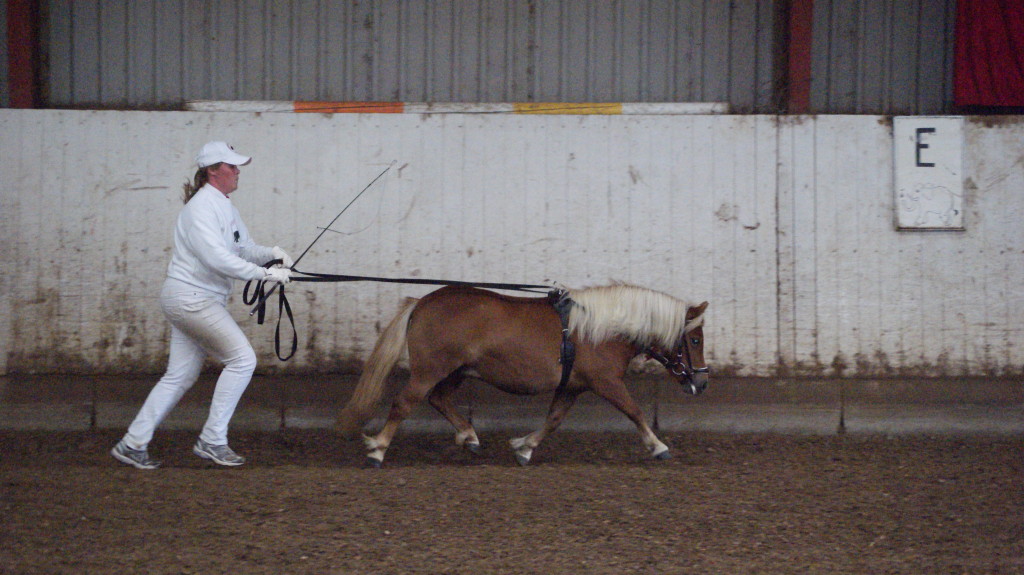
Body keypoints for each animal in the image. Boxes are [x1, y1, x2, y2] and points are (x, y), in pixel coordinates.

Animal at [339, 282, 708, 466]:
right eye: (694, 339)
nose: (702, 382)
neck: (601, 329)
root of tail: (423, 302)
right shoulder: (606, 382)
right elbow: (634, 412)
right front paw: (658, 446)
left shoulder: (572, 386)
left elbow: (553, 419)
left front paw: (524, 447)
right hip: (431, 369)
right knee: (405, 402)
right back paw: (378, 449)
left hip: (456, 371)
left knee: (439, 399)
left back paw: (469, 437)